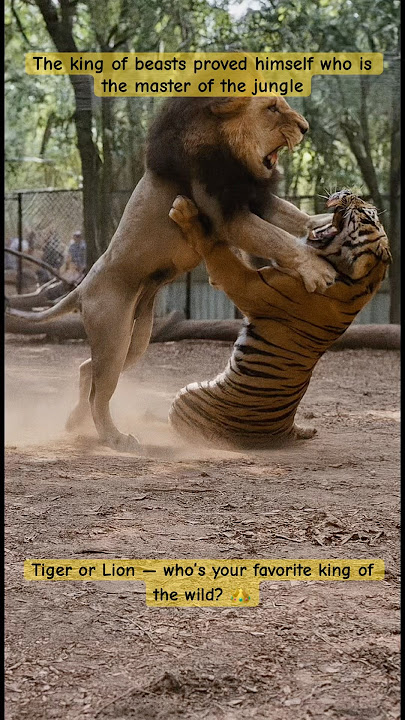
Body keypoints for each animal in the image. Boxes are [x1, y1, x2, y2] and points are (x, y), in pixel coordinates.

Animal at [10, 96, 335, 452]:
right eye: (272, 108)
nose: (305, 128)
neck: (229, 147)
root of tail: (82, 288)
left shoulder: (251, 198)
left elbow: (292, 215)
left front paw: (322, 221)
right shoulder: (229, 216)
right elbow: (280, 239)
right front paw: (317, 269)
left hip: (135, 339)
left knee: (86, 370)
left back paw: (75, 421)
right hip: (114, 337)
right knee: (99, 393)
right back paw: (115, 438)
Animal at [167, 190, 391, 450]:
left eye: (366, 214)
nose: (348, 192)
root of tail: (287, 430)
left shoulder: (246, 285)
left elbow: (215, 249)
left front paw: (185, 212)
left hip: (184, 398)